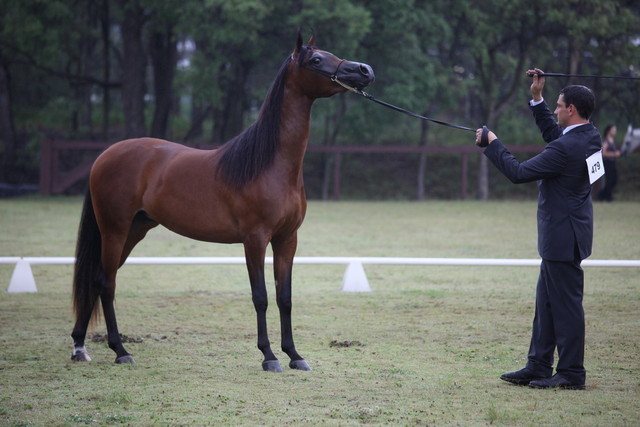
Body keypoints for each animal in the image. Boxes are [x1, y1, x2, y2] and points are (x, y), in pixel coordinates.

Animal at [70, 31, 374, 372]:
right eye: (317, 60)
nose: (364, 70)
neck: (269, 165)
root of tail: (104, 156)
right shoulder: (254, 239)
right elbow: (261, 297)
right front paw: (269, 357)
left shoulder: (287, 239)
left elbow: (284, 297)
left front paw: (295, 356)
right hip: (115, 229)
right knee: (106, 283)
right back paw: (120, 350)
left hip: (134, 230)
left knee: (97, 280)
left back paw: (80, 347)